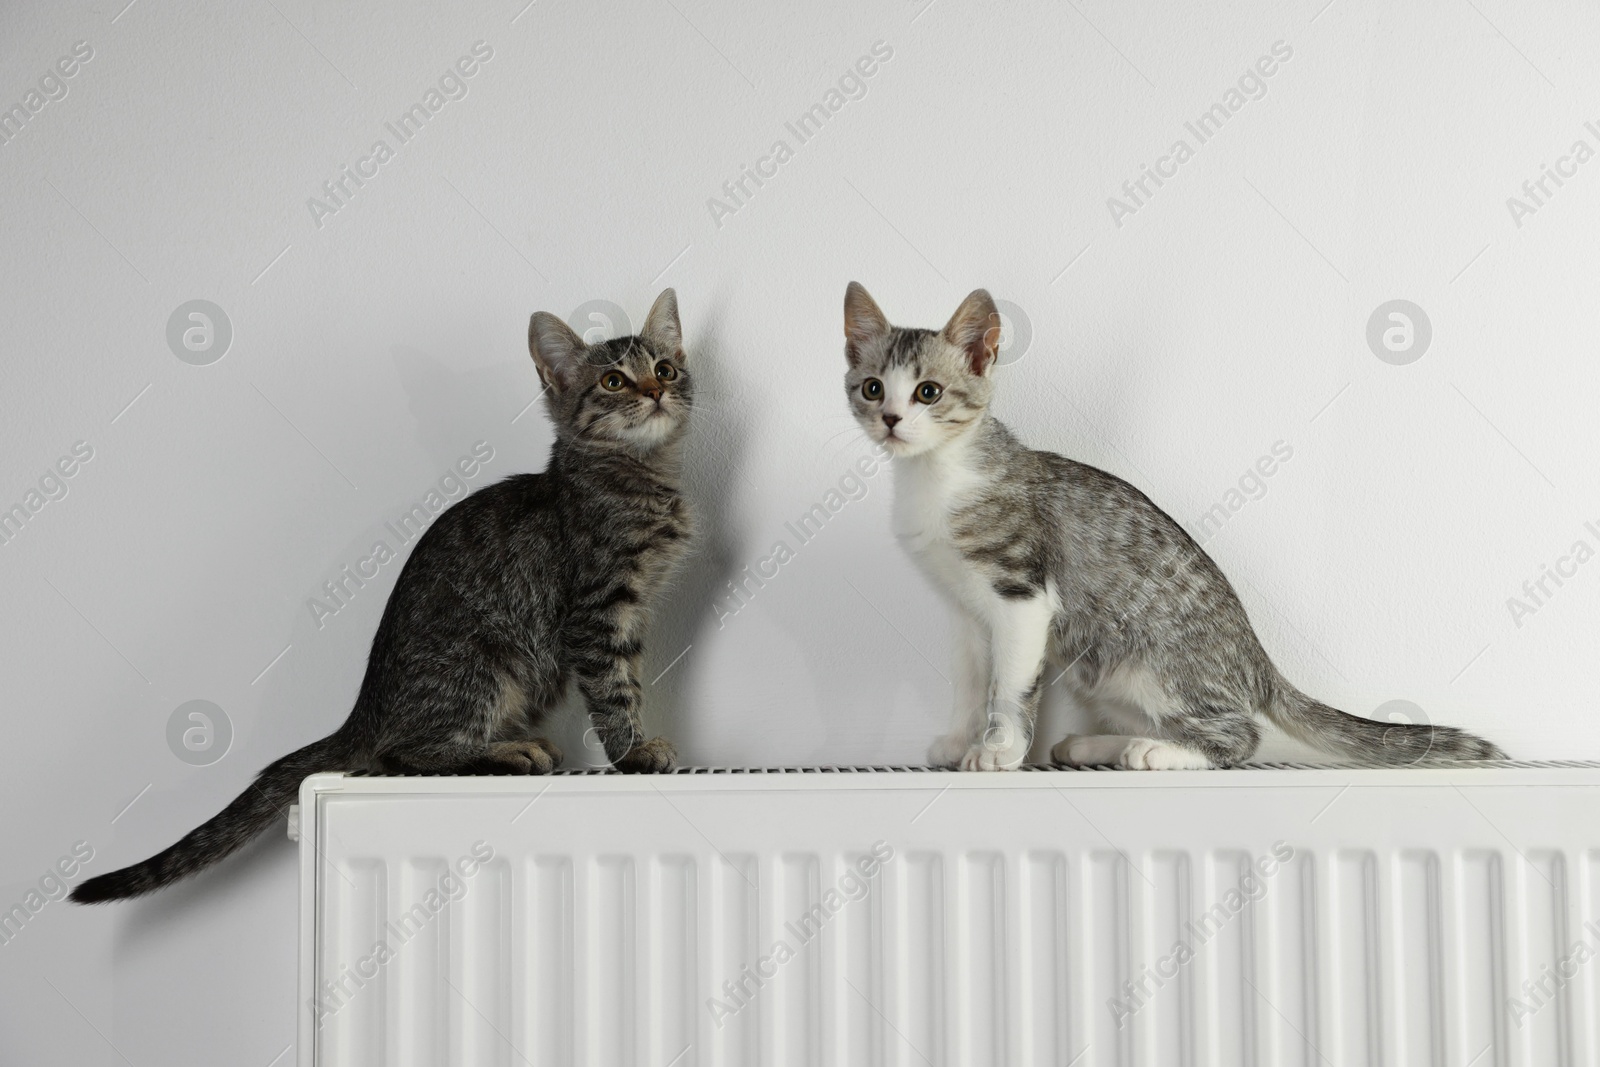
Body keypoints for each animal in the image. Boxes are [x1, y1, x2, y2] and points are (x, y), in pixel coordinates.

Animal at [75, 286, 691, 902]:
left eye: (666, 368)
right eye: (613, 381)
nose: (656, 390)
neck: (640, 479)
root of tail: (364, 705)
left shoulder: (632, 613)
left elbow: (629, 678)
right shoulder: (596, 612)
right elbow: (613, 690)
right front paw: (632, 752)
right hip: (482, 663)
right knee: (404, 752)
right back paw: (506, 750)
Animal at [844, 281, 1504, 767]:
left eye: (929, 392)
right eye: (872, 388)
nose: (892, 420)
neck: (938, 477)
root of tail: (1259, 660)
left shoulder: (1022, 595)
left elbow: (1009, 688)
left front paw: (999, 751)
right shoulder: (963, 609)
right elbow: (968, 680)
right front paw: (959, 742)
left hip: (1149, 663)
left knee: (1239, 737)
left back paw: (1156, 752)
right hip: (1100, 671)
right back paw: (1098, 744)